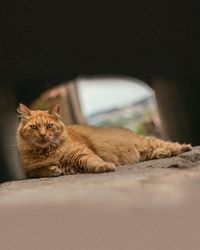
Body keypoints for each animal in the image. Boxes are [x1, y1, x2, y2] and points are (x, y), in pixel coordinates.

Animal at [16, 103, 192, 178]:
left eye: (49, 126)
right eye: (34, 127)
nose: (43, 135)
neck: (48, 152)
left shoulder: (82, 154)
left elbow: (94, 161)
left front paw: (105, 166)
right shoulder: (29, 171)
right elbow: (40, 171)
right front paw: (54, 170)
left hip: (143, 142)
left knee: (164, 143)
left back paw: (183, 148)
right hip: (141, 150)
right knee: (151, 152)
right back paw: (163, 153)